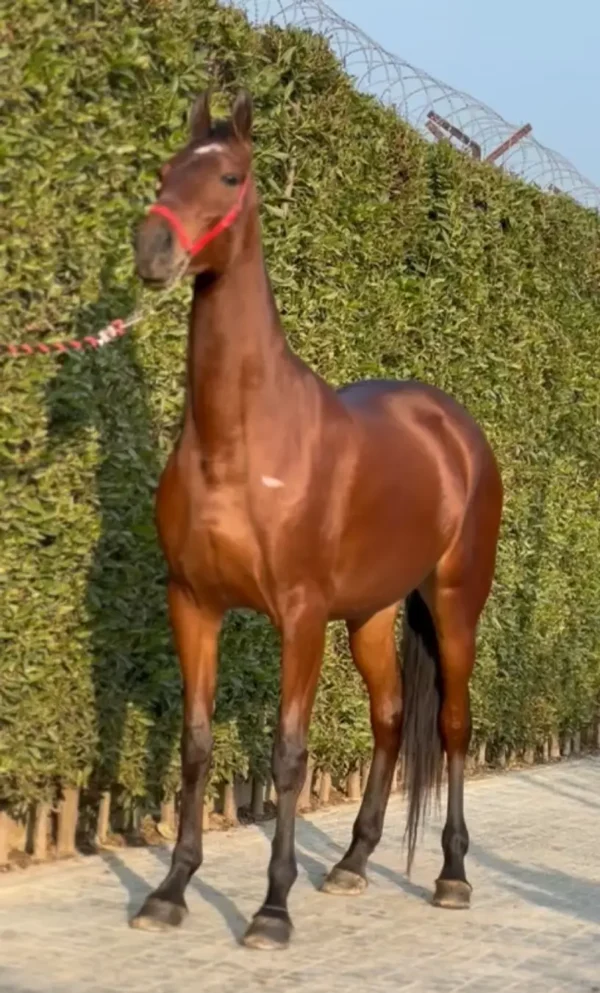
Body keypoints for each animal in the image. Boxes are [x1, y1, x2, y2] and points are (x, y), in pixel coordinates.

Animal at [132, 89, 503, 950]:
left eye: (229, 176)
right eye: (165, 169)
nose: (153, 249)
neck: (239, 438)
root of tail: (455, 429)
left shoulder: (297, 617)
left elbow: (289, 754)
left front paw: (272, 907)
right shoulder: (192, 602)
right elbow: (196, 745)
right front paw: (171, 888)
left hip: (454, 605)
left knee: (454, 726)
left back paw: (453, 874)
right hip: (369, 615)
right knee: (392, 719)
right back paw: (353, 861)